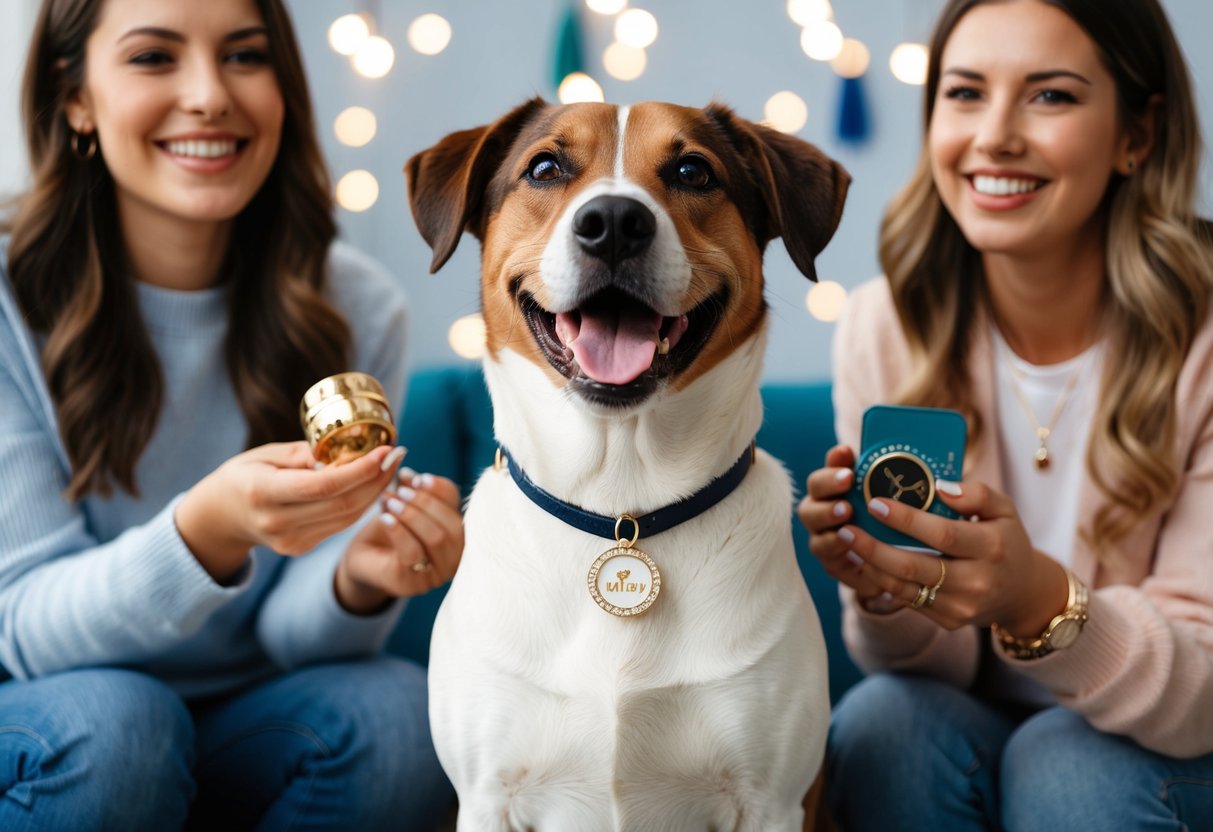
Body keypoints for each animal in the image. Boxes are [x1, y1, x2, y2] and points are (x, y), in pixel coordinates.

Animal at [402, 99, 849, 832]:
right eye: (544, 168)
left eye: (693, 171)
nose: (613, 222)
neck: (619, 504)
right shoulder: (486, 795)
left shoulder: (772, 801)